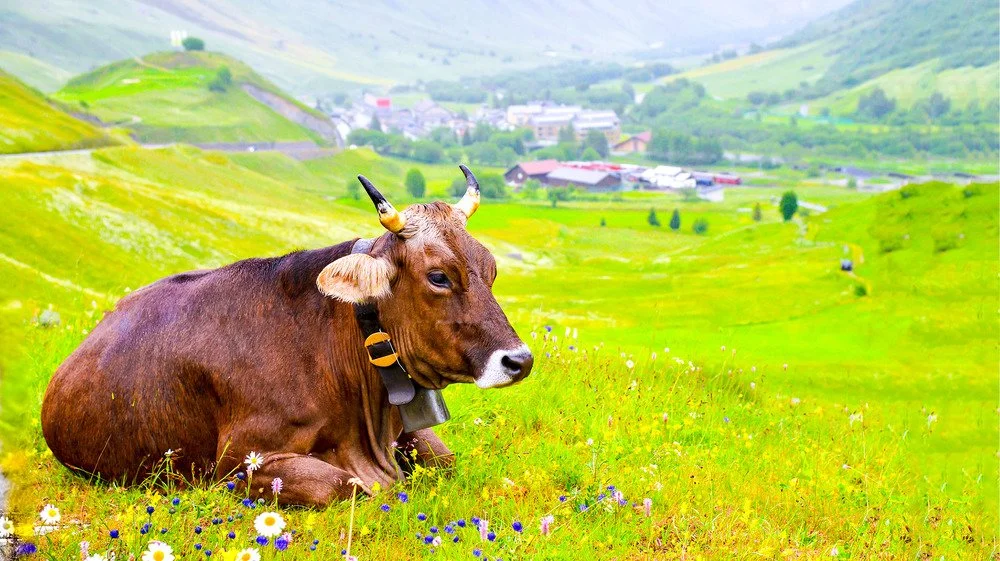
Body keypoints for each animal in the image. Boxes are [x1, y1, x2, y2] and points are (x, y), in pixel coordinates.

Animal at [40, 165, 533, 507]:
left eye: (491, 269)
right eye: (438, 277)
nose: (520, 360)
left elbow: (446, 460)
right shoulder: (241, 463)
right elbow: (342, 486)